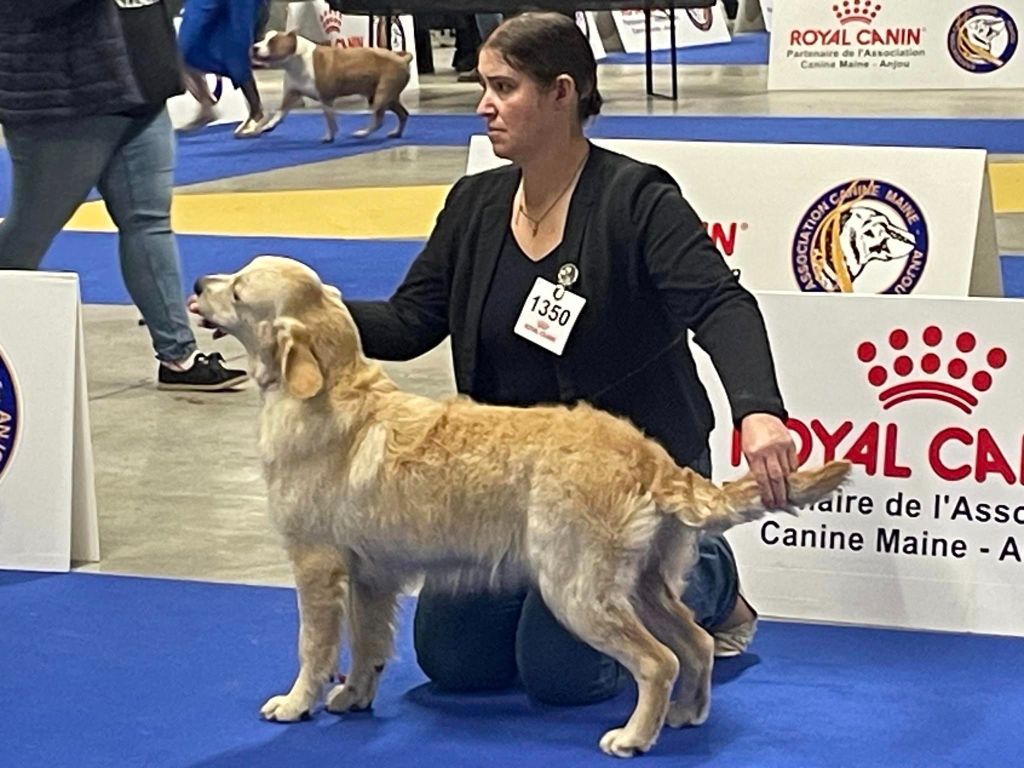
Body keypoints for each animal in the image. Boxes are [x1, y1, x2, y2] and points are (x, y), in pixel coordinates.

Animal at [190, 257, 847, 757]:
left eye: (239, 289)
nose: (198, 284)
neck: (329, 389)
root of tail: (649, 457)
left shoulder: (316, 565)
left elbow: (315, 645)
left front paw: (295, 702)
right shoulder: (371, 577)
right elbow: (368, 644)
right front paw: (353, 696)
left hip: (576, 590)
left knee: (658, 661)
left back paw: (634, 736)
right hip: (640, 583)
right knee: (694, 643)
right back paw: (686, 713)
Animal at [251, 30, 411, 143]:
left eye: (272, 42)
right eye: (264, 38)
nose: (254, 47)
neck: (297, 59)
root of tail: (401, 58)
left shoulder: (326, 98)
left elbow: (329, 120)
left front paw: (329, 136)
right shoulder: (292, 95)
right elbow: (279, 114)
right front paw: (267, 127)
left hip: (382, 95)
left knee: (378, 120)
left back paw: (362, 133)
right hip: (385, 97)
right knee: (403, 114)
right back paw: (396, 133)